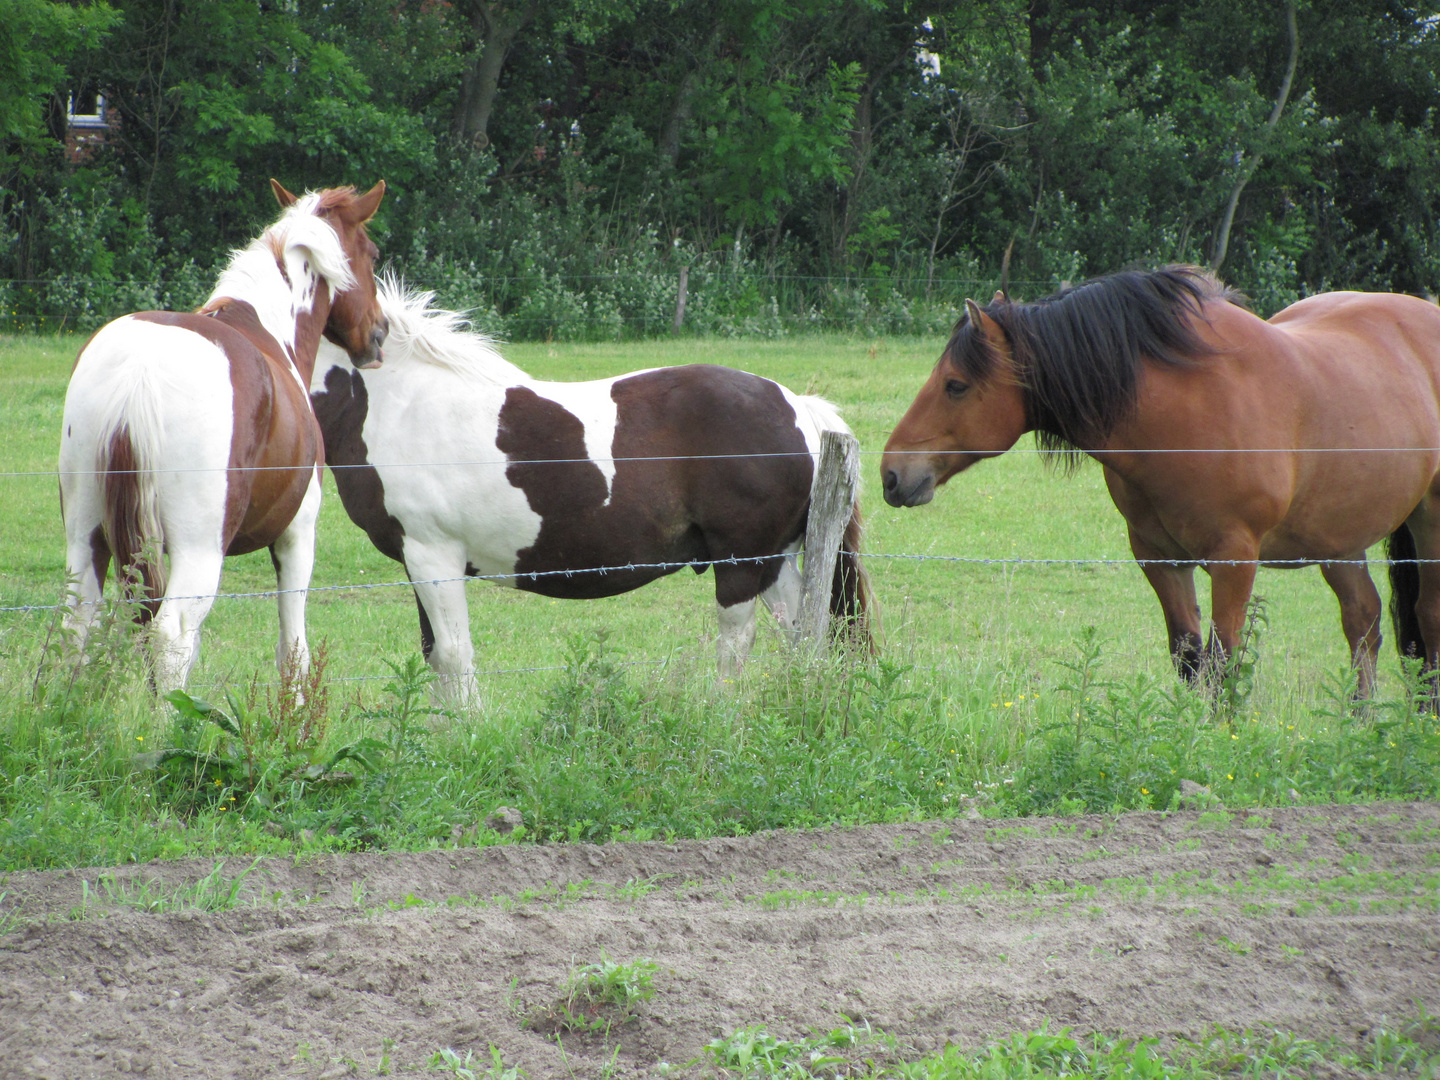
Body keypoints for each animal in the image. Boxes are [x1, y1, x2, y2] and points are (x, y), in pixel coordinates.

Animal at [60, 175, 388, 685]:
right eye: (372, 254)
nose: (380, 332)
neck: (268, 330)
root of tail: (140, 371)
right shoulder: (297, 536)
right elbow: (293, 653)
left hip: (85, 535)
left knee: (80, 628)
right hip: (198, 552)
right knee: (170, 634)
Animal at [309, 280, 869, 702]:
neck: (400, 403)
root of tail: (798, 408)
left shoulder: (433, 556)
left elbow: (452, 655)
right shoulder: (418, 562)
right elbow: (434, 654)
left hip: (741, 562)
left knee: (738, 642)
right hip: (771, 561)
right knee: (803, 630)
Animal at [875, 266, 1440, 696]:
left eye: (955, 385)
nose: (891, 474)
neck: (1187, 411)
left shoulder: (1234, 558)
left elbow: (1224, 659)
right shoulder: (1160, 558)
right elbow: (1189, 659)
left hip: (1424, 524)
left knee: (1427, 616)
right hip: (1339, 538)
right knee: (1364, 621)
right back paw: (1360, 725)